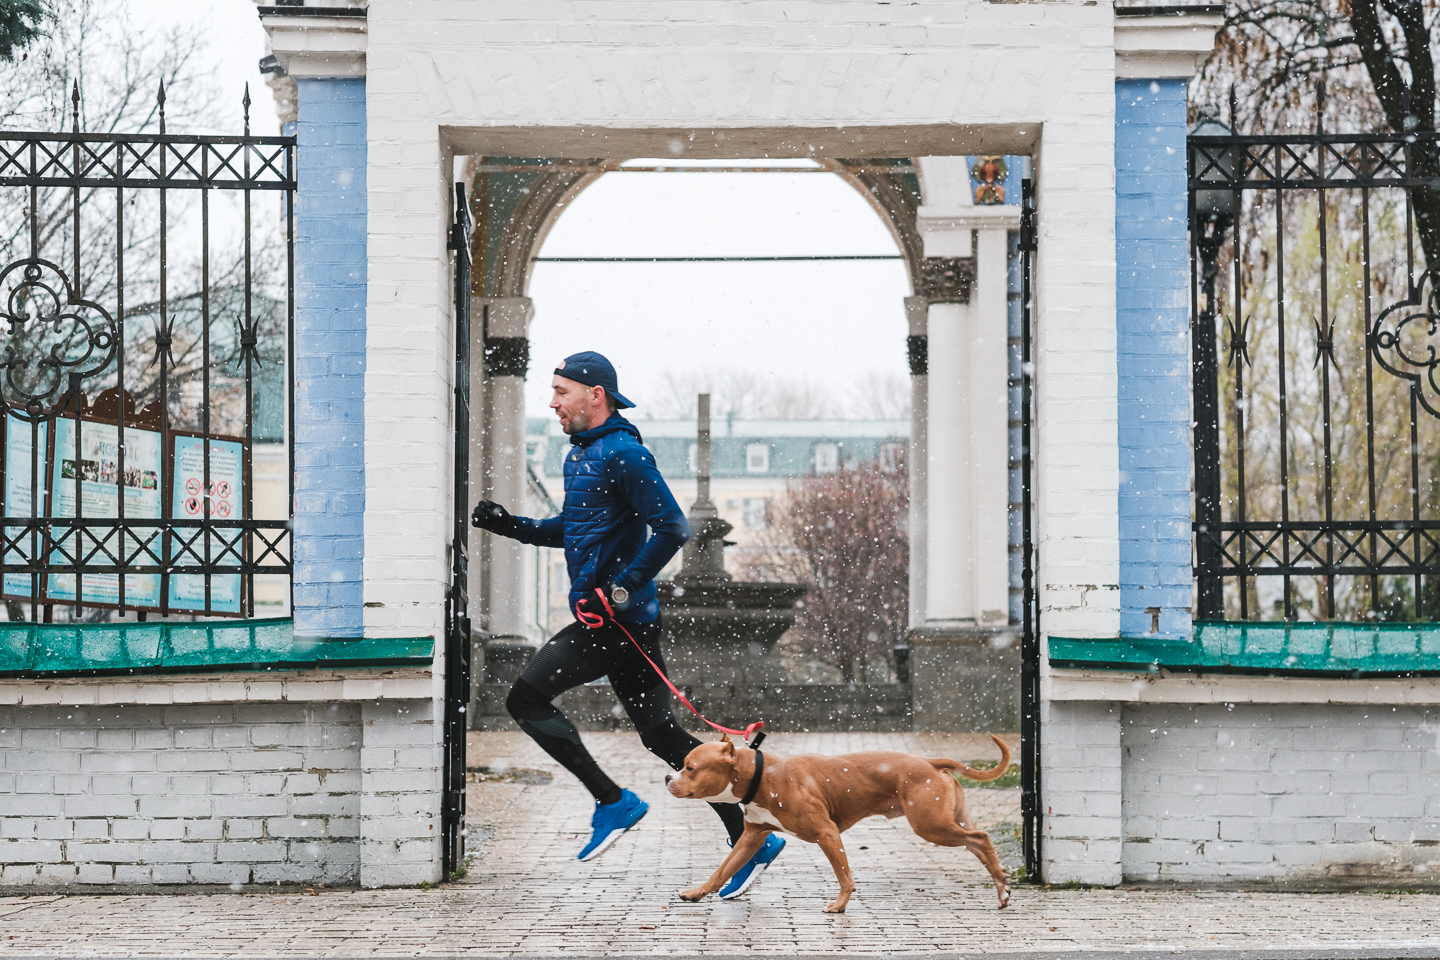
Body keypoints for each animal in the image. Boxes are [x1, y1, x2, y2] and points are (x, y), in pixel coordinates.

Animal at [665, 736, 1013, 915]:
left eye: (690, 768)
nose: (668, 777)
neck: (759, 776)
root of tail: (929, 762)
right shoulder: (750, 838)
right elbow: (722, 870)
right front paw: (696, 893)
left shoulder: (827, 834)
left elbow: (844, 875)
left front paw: (841, 904)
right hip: (946, 823)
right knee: (978, 845)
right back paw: (1002, 890)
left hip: (932, 826)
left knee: (981, 838)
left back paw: (1001, 887)